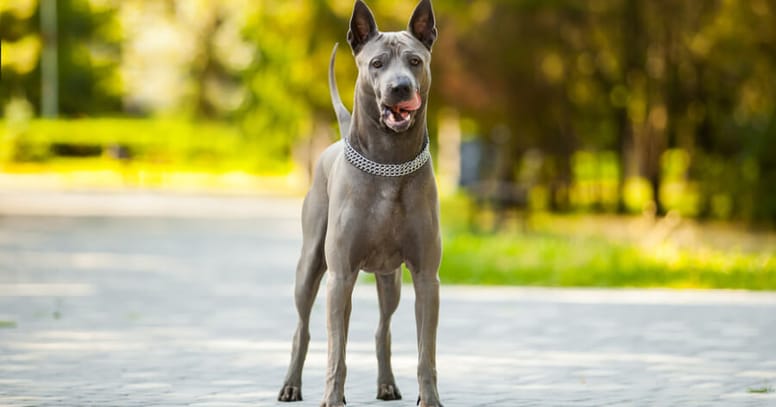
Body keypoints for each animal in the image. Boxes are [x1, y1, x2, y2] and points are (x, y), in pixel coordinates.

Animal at [276, 0, 440, 407]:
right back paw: (291, 386)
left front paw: (430, 398)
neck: (389, 162)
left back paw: (386, 384)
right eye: (377, 63)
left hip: (391, 280)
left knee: (383, 328)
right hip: (309, 265)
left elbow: (425, 352)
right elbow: (337, 350)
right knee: (302, 328)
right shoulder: (340, 276)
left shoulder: (427, 278)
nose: (401, 88)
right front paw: (332, 398)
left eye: (415, 61)